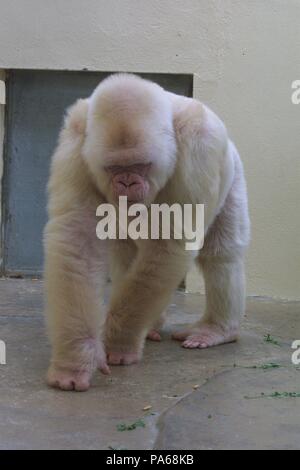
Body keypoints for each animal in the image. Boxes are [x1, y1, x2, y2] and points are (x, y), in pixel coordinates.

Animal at [45, 73, 251, 392]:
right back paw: (151, 325)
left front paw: (118, 340)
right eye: (114, 167)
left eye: (140, 165)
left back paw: (218, 329)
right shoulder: (75, 144)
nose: (127, 183)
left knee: (221, 257)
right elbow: (75, 242)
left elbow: (171, 245)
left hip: (234, 171)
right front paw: (77, 356)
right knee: (126, 258)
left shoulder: (200, 146)